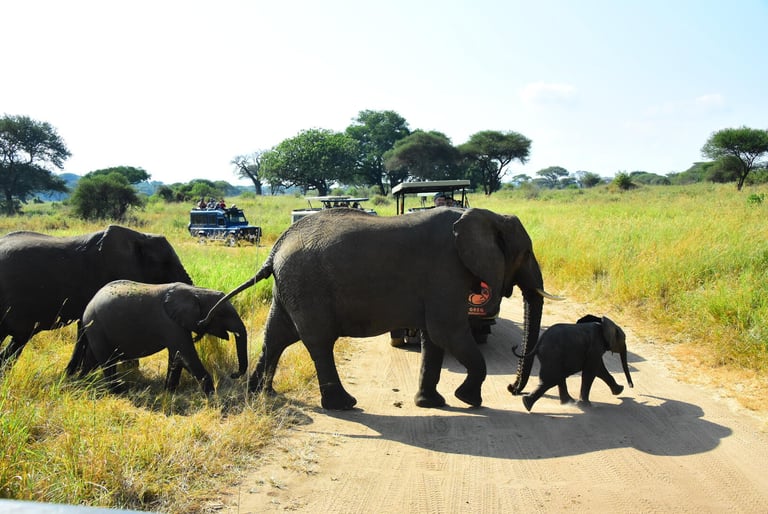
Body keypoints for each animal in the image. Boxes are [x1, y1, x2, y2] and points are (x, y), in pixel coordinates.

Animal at [74, 280, 248, 395]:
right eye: (223, 314)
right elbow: (186, 354)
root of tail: (87, 307)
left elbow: (177, 357)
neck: (195, 292)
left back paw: (82, 383)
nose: (233, 374)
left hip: (95, 329)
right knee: (107, 361)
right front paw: (212, 395)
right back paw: (118, 392)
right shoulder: (170, 323)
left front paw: (169, 393)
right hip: (97, 327)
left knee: (91, 359)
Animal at [198, 206, 557, 410]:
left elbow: (434, 338)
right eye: (526, 253)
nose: (513, 389)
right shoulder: (447, 271)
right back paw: (343, 405)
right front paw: (469, 400)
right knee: (318, 341)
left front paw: (432, 404)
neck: (486, 217)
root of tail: (276, 247)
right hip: (307, 285)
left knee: (277, 335)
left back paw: (263, 394)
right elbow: (448, 332)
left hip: (290, 286)